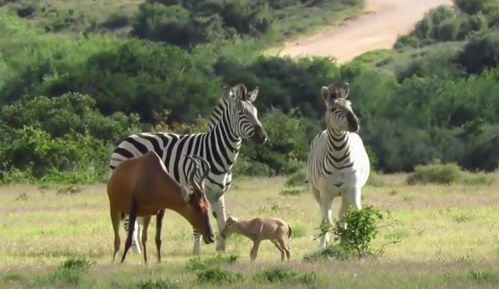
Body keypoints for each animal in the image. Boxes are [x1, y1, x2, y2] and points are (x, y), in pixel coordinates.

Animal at [108, 82, 268, 254]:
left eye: (256, 113)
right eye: (242, 113)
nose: (263, 137)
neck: (217, 154)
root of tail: (126, 139)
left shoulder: (218, 194)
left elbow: (222, 221)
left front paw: (221, 249)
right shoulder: (197, 188)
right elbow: (198, 222)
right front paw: (196, 252)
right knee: (127, 219)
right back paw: (135, 250)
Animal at [306, 81, 374, 248]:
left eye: (350, 105)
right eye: (333, 109)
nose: (355, 124)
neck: (339, 155)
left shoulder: (353, 189)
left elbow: (357, 215)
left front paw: (358, 242)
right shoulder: (325, 193)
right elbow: (326, 222)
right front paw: (322, 247)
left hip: (345, 194)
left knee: (342, 218)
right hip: (316, 191)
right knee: (326, 217)